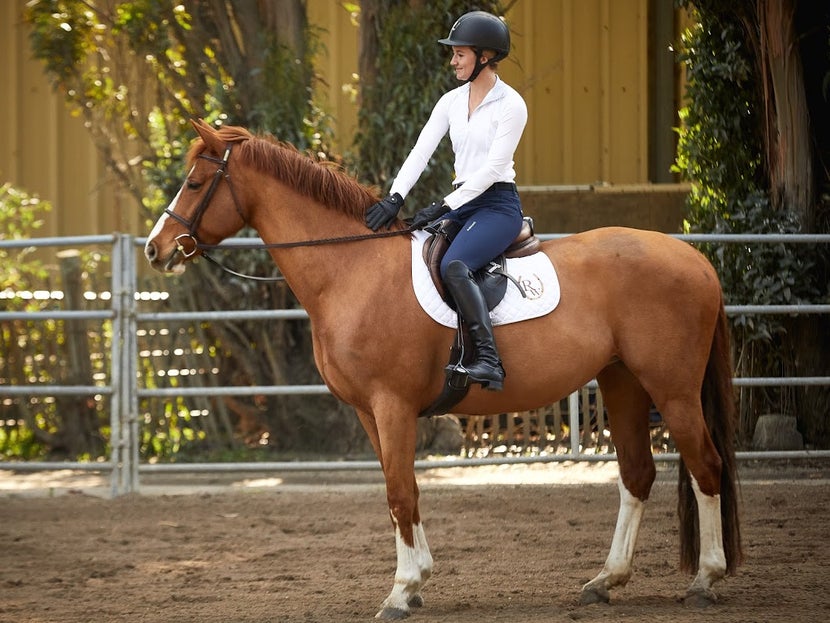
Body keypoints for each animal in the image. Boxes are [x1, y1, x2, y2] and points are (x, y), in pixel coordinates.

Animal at [146, 120, 744, 620]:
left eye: (195, 183)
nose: (156, 250)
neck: (352, 270)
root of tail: (696, 259)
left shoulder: (392, 405)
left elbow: (400, 492)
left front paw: (400, 591)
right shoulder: (370, 413)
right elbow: (400, 493)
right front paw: (416, 582)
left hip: (673, 389)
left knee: (706, 465)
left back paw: (706, 580)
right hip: (623, 383)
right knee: (637, 474)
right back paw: (606, 580)